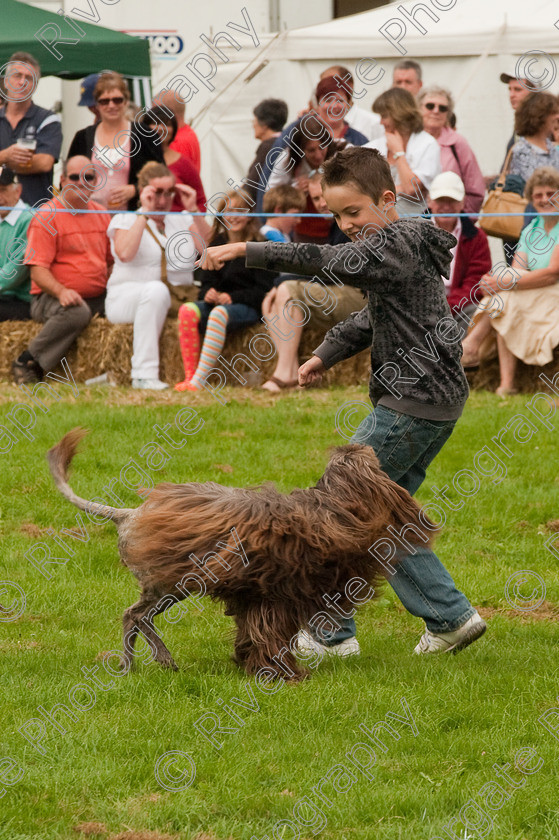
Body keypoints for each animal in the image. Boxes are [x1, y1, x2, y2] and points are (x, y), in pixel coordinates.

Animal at [47, 430, 438, 680]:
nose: (360, 445)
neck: (333, 509)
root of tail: (129, 514)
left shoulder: (258, 596)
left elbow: (253, 631)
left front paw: (251, 661)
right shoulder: (277, 596)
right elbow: (269, 633)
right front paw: (282, 673)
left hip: (169, 584)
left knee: (134, 617)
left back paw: (133, 665)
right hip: (175, 581)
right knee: (137, 616)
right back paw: (159, 657)